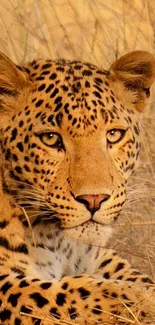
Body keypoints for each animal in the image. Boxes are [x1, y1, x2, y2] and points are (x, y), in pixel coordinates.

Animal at [0, 50, 155, 324]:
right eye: (50, 138)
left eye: (114, 135)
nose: (94, 199)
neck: (58, 241)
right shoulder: (6, 285)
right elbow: (85, 292)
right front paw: (146, 302)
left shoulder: (98, 255)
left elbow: (133, 276)